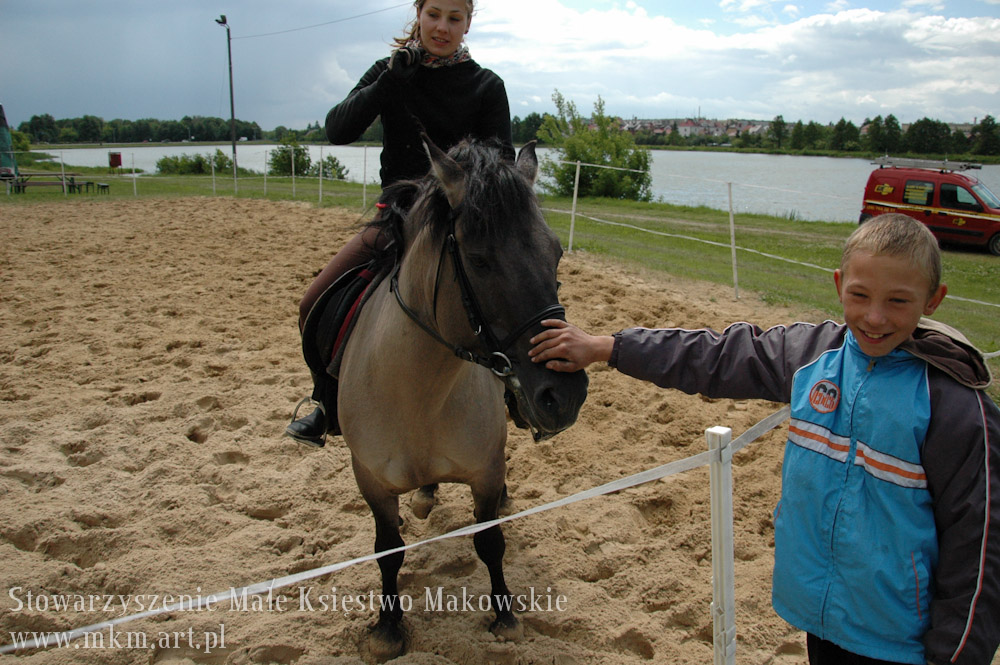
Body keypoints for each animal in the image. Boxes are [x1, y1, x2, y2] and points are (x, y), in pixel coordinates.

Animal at [334, 135, 589, 661]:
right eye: (479, 259)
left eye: (556, 254)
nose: (566, 395)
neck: (420, 395)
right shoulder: (370, 479)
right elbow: (387, 550)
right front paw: (387, 629)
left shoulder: (486, 471)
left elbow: (490, 540)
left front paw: (505, 617)